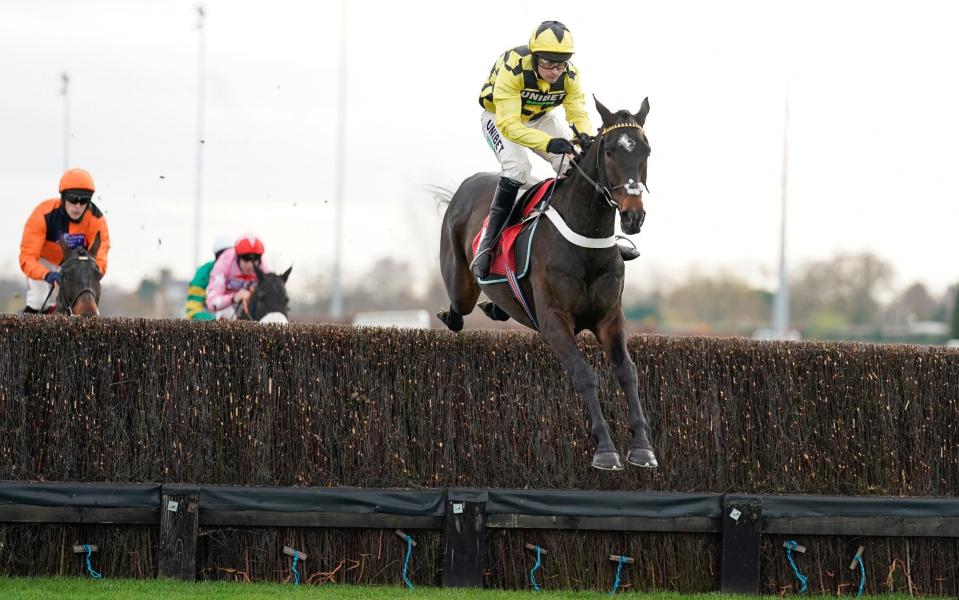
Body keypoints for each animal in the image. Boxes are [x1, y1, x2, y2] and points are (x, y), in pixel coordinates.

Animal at [438, 98, 656, 472]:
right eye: (610, 151)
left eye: (646, 150)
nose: (633, 215)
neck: (585, 240)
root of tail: (465, 186)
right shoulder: (554, 321)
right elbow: (584, 374)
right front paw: (606, 450)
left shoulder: (610, 317)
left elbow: (627, 371)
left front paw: (642, 447)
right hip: (460, 282)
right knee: (458, 310)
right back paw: (454, 312)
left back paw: (495, 307)